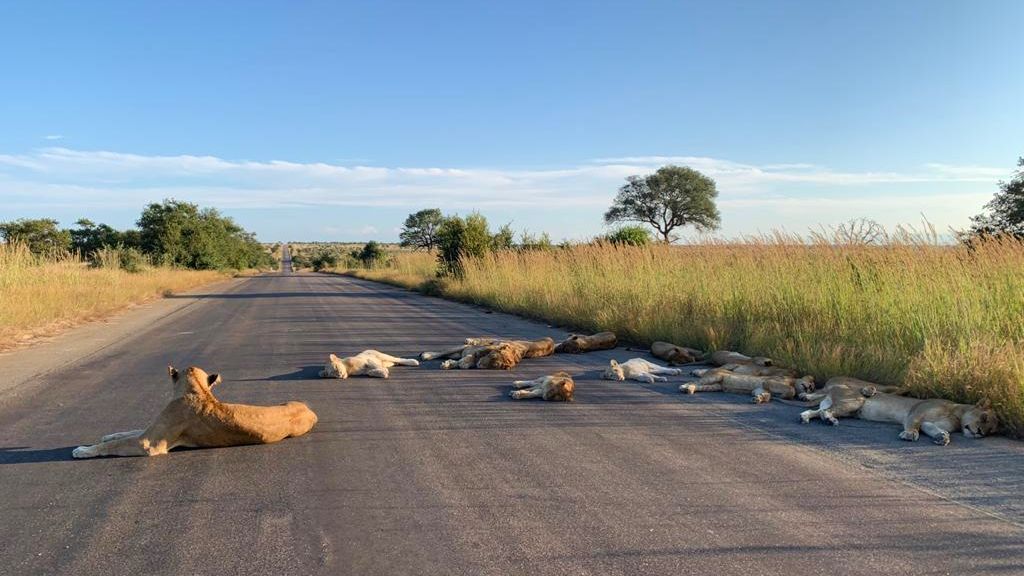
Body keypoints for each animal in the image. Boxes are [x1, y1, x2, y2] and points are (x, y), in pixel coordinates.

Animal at [72, 366, 317, 457]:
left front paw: (82, 450)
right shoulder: (150, 431)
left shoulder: (150, 444)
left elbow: (115, 444)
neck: (198, 390)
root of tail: (310, 410)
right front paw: (108, 435)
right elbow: (127, 432)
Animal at [679, 364, 815, 401]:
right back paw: (684, 386)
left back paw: (689, 389)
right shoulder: (770, 381)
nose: (809, 387)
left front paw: (759, 399)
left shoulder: (760, 388)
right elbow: (791, 391)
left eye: (812, 389)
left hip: (715, 386)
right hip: (714, 377)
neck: (793, 380)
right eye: (811, 383)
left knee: (699, 386)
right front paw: (784, 396)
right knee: (694, 381)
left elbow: (766, 395)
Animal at [856, 389, 999, 444]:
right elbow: (913, 423)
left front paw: (942, 437)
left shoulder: (928, 423)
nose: (980, 433)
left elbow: (931, 427)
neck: (956, 415)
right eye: (984, 417)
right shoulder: (916, 411)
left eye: (990, 431)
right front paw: (910, 434)